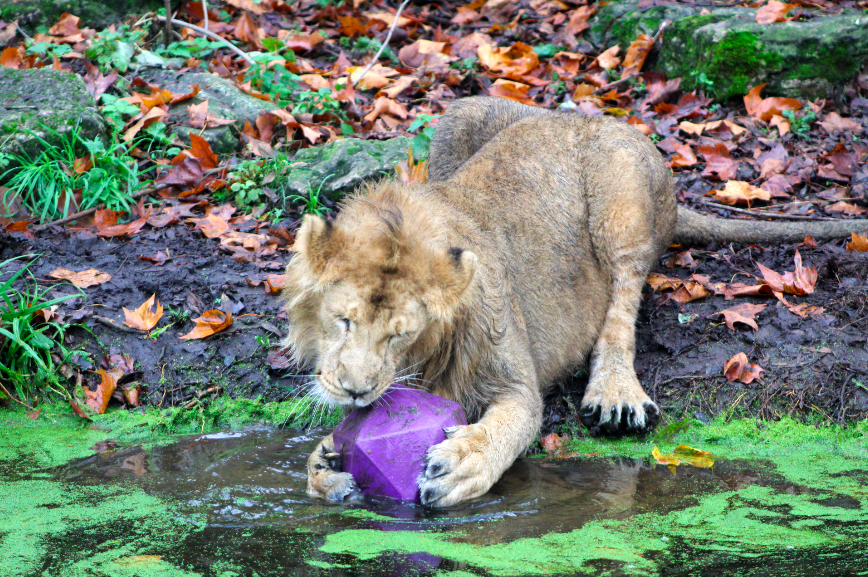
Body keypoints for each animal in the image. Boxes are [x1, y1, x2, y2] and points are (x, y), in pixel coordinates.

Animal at [282, 96, 868, 507]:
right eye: (343, 321)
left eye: (401, 333)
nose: (356, 391)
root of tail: (586, 115)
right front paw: (325, 468)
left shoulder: (512, 376)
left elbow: (511, 424)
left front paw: (463, 463)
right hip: (457, 119)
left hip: (619, 196)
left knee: (624, 301)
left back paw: (615, 395)